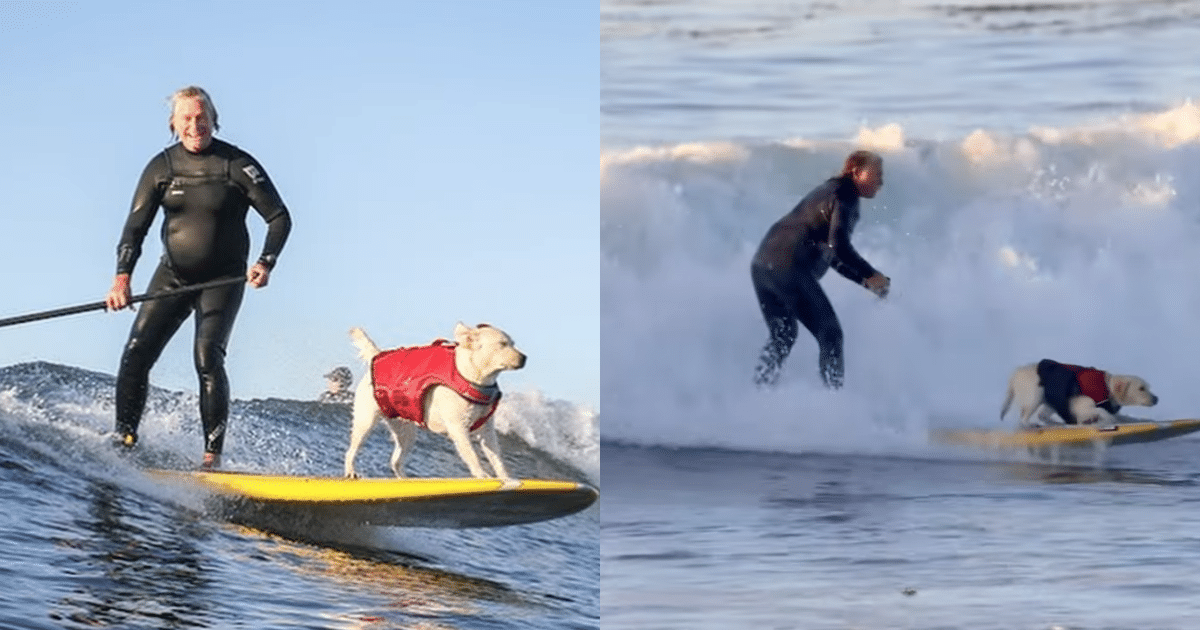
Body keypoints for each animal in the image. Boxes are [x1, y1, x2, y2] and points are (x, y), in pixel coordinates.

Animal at [340, 324, 523, 477]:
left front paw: (507, 479)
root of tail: (377, 355)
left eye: (513, 343)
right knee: (351, 451)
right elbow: (472, 456)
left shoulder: (487, 431)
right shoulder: (458, 428)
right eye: (503, 344)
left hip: (405, 432)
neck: (474, 378)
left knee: (396, 462)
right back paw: (351, 471)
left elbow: (497, 459)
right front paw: (482, 475)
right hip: (366, 421)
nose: (524, 358)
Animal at [998, 355, 1156, 429]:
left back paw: (1057, 424)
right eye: (1141, 388)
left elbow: (1125, 417)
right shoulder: (1083, 406)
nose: (1156, 399)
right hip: (1036, 394)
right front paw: (1104, 420)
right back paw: (1031, 424)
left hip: (1050, 399)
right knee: (1024, 417)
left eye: (1148, 386)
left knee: (1042, 415)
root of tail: (1015, 373)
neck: (1107, 386)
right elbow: (1103, 413)